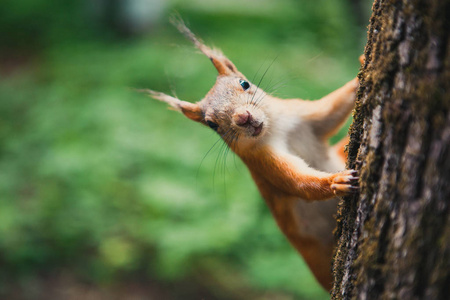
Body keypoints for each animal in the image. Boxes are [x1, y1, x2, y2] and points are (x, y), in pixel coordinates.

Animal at [142, 20, 360, 290]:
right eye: (211, 124)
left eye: (244, 83)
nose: (242, 117)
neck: (275, 128)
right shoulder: (262, 162)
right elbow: (297, 182)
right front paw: (335, 181)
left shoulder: (303, 115)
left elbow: (334, 110)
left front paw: (361, 68)